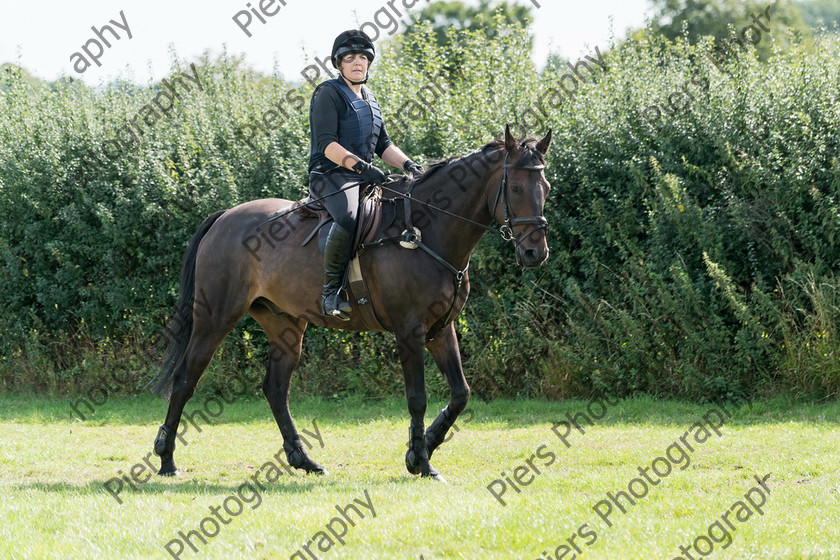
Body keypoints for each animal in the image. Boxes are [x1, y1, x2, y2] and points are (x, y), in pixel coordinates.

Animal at [150, 124, 552, 480]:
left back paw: (304, 461)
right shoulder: (409, 331)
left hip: (284, 326)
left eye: (545, 187)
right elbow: (417, 397)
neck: (427, 230)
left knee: (276, 389)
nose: (535, 252)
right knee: (185, 379)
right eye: (516, 187)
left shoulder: (441, 329)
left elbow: (460, 394)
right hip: (216, 319)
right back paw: (166, 460)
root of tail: (225, 218)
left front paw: (421, 449)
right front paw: (421, 462)